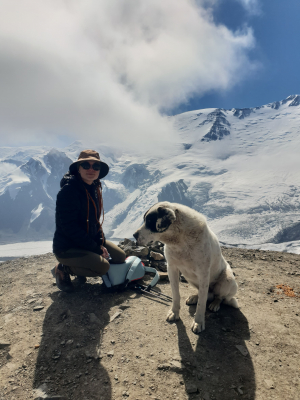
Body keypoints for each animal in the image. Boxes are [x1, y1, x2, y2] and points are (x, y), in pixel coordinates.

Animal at [134, 202, 239, 332]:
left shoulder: (203, 273)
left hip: (227, 279)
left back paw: (215, 303)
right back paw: (195, 297)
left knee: (218, 296)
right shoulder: (172, 268)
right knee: (206, 294)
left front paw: (198, 322)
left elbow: (201, 304)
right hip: (191, 278)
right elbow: (176, 295)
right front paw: (174, 313)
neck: (179, 239)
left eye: (149, 221)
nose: (134, 235)